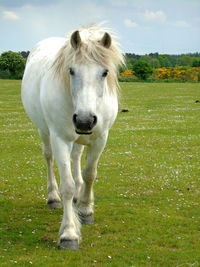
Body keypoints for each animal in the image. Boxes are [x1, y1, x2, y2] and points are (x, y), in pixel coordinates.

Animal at [20, 25, 123, 251]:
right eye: (71, 70)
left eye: (105, 72)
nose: (84, 121)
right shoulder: (59, 139)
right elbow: (66, 185)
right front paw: (69, 234)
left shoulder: (100, 138)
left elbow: (89, 174)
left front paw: (85, 210)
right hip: (45, 132)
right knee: (49, 158)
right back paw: (53, 198)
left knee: (76, 159)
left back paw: (79, 196)